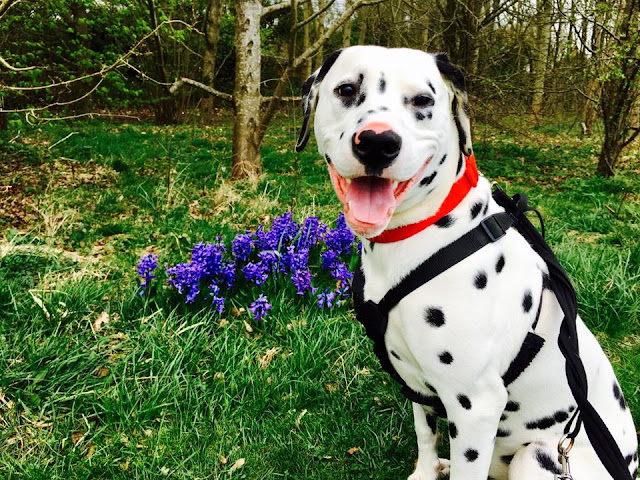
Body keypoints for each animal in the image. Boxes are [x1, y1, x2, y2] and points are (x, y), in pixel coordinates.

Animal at [296, 47, 636, 480]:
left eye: (422, 100)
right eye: (346, 90)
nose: (376, 143)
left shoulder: (476, 405)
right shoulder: (417, 383)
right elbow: (425, 433)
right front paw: (426, 470)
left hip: (538, 455)